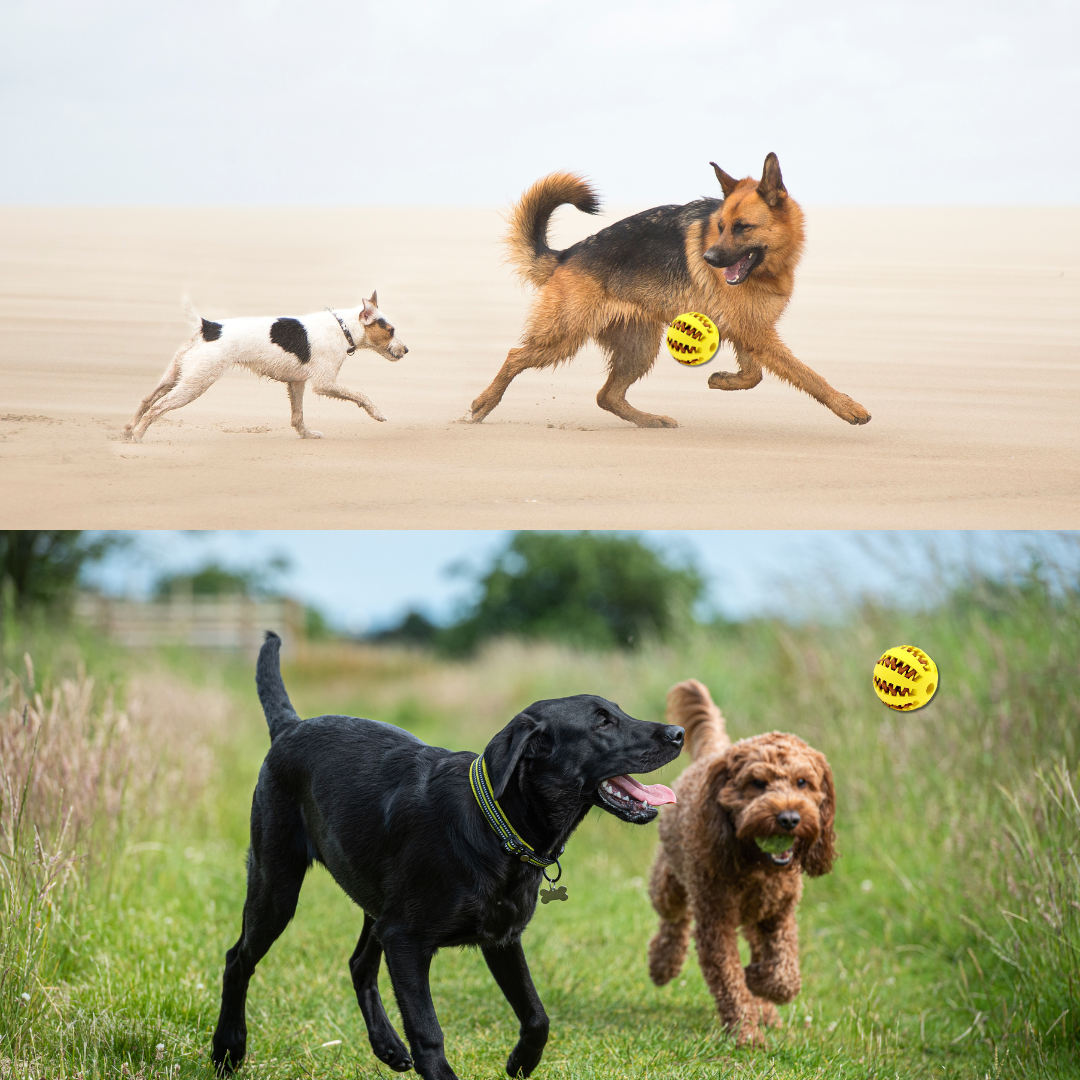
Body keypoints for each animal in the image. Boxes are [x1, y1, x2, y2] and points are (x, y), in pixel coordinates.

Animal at [468, 154, 872, 427]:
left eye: (742, 227)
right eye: (720, 226)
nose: (708, 259)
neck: (769, 266)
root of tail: (567, 254)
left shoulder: (749, 330)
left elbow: (754, 375)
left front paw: (723, 380)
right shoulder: (756, 332)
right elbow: (809, 375)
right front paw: (847, 407)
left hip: (638, 346)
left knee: (606, 396)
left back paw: (649, 420)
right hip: (563, 337)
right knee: (514, 356)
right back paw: (484, 402)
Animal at [643, 678, 838, 1041]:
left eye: (802, 782)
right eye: (757, 783)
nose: (788, 818)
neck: (756, 865)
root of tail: (714, 753)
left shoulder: (779, 915)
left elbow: (785, 977)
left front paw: (759, 984)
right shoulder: (715, 922)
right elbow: (729, 979)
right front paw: (746, 1032)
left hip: (753, 917)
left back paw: (766, 1010)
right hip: (669, 883)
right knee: (674, 918)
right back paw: (663, 963)